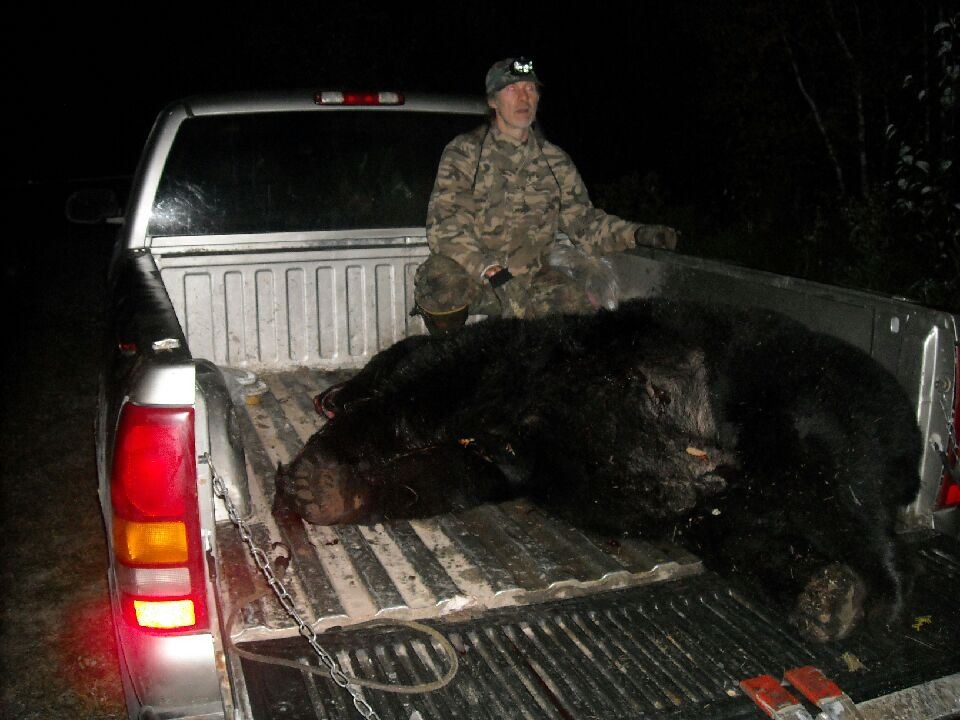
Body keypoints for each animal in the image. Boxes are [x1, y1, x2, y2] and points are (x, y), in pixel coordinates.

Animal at [275, 297, 922, 642]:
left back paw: (881, 590)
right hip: (724, 504)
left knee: (843, 483)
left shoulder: (503, 364)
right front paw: (329, 488)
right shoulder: (508, 447)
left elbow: (413, 395)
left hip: (792, 394)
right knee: (744, 539)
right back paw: (827, 595)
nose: (328, 393)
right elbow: (446, 474)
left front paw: (313, 462)